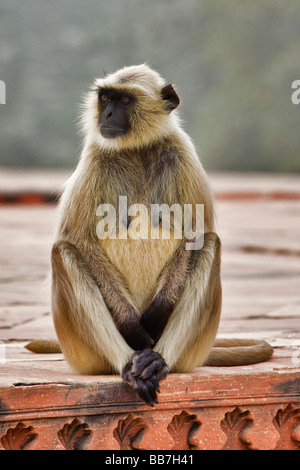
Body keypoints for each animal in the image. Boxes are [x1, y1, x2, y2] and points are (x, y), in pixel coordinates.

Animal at [27, 64, 274, 406]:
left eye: (125, 100)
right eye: (105, 98)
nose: (108, 114)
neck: (137, 149)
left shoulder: (180, 150)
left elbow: (198, 233)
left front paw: (156, 315)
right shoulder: (95, 155)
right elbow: (77, 239)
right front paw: (132, 324)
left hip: (192, 352)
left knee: (210, 243)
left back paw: (156, 361)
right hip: (82, 354)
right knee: (63, 250)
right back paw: (129, 366)